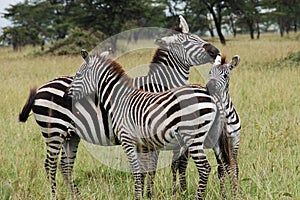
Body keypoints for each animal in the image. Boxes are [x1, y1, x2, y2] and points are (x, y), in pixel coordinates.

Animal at [67, 52, 230, 199]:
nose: (67, 95)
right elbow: (144, 171)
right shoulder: (143, 144)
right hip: (213, 137)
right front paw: (145, 194)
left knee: (205, 168)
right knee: (222, 165)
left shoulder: (128, 140)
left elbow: (136, 171)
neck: (120, 100)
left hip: (193, 136)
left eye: (78, 74)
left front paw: (138, 196)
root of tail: (209, 94)